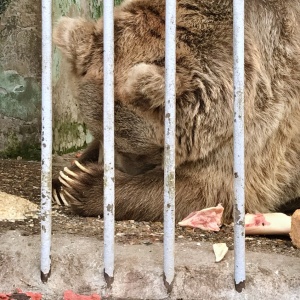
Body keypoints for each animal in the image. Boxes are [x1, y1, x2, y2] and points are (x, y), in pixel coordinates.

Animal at [52, 0, 300, 223]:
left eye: (131, 151)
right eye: (97, 132)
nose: (108, 167)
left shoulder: (265, 118)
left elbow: (211, 187)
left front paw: (83, 184)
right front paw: (67, 175)